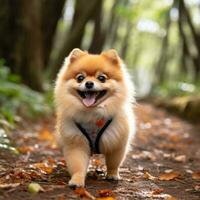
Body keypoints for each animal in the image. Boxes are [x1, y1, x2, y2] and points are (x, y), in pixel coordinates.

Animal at [54, 48, 135, 188]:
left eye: (102, 78)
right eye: (80, 78)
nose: (89, 83)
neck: (92, 113)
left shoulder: (117, 142)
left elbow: (114, 163)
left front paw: (112, 174)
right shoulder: (77, 143)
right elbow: (78, 165)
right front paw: (77, 180)